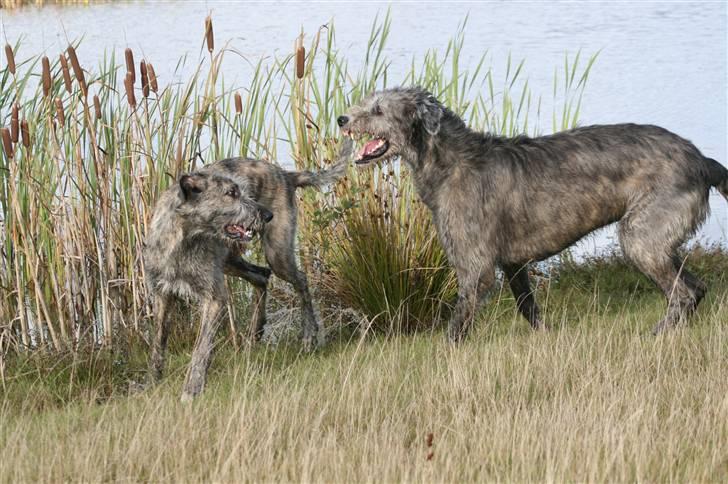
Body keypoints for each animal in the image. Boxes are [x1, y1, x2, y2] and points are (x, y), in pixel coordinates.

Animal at [336, 85, 728, 338]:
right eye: (366, 102)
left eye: (378, 110)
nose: (341, 118)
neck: (451, 161)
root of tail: (702, 161)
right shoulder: (513, 263)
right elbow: (528, 306)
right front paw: (546, 338)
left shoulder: (475, 266)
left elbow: (459, 321)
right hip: (658, 238)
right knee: (696, 287)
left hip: (641, 236)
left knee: (682, 293)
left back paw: (656, 335)